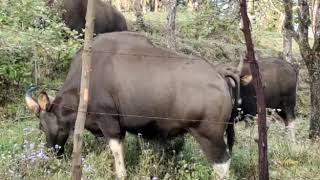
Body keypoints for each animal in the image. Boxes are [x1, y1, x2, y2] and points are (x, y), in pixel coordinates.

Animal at [25, 31, 242, 179]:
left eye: (42, 126)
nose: (51, 152)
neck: (86, 78)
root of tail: (218, 73)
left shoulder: (109, 122)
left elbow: (116, 154)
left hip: (209, 135)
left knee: (222, 164)